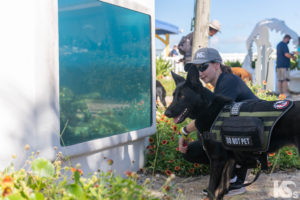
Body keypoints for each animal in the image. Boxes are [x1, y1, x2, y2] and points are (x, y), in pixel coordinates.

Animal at [165, 66, 298, 200]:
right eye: (174, 95)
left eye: (182, 96)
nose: (166, 113)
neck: (207, 107)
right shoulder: (229, 160)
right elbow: (221, 188)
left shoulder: (217, 160)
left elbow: (212, 189)